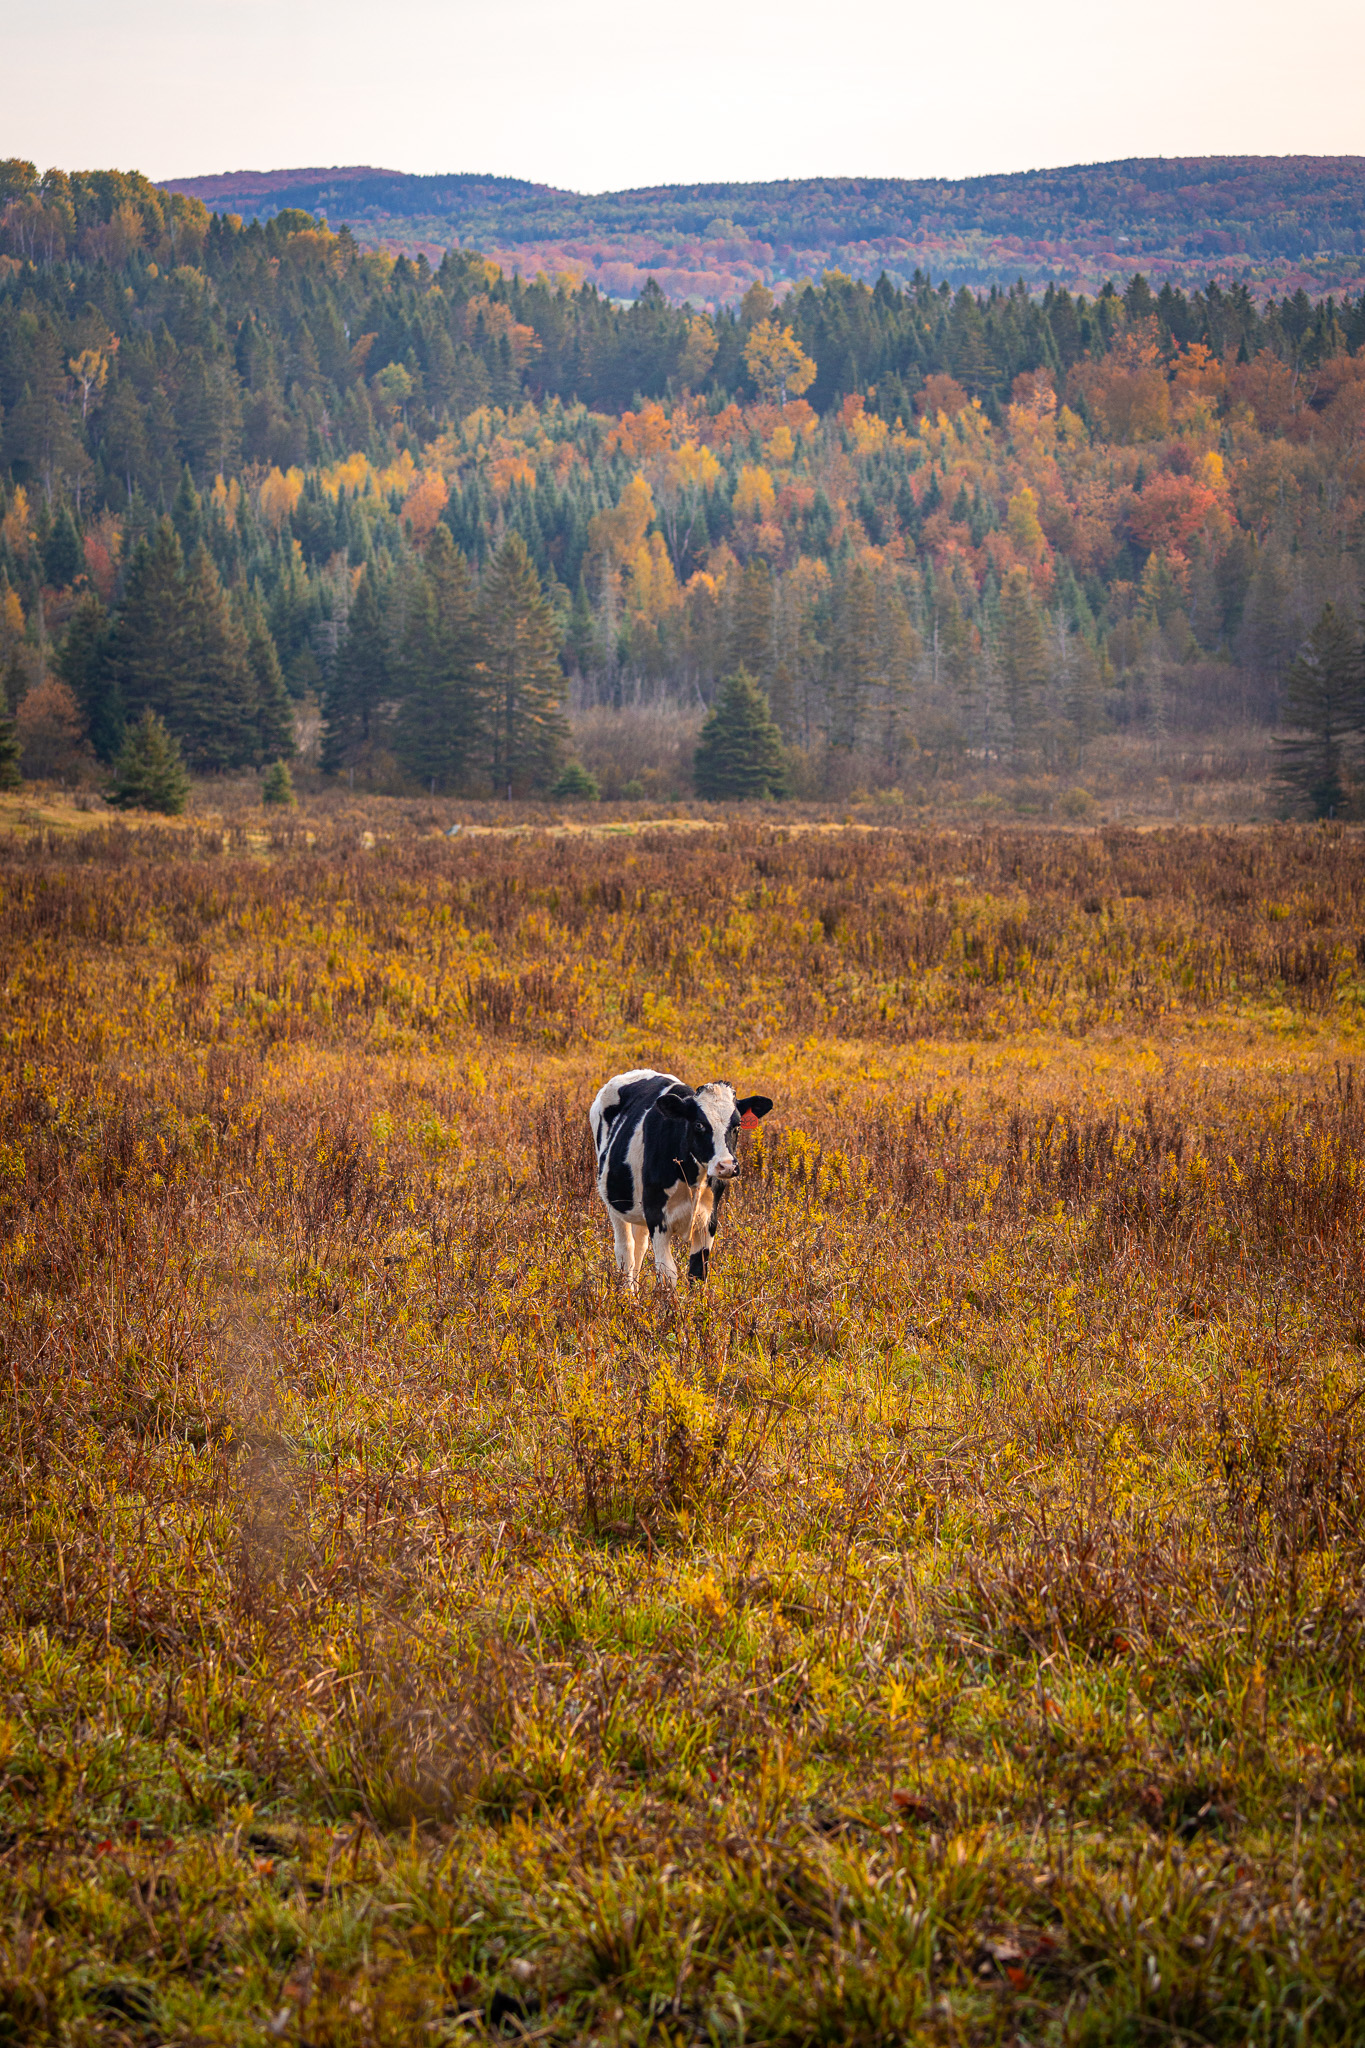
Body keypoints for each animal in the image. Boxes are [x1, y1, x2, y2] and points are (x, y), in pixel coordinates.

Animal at [589, 1073, 773, 1277]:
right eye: (699, 1124)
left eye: (737, 1124)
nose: (726, 1166)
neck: (693, 1179)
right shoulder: (657, 1218)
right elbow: (668, 1273)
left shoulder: (709, 1220)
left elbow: (698, 1271)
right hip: (614, 1203)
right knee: (626, 1252)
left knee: (639, 1248)